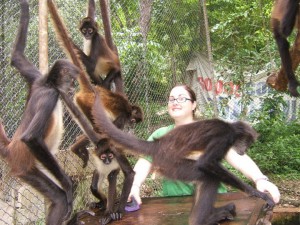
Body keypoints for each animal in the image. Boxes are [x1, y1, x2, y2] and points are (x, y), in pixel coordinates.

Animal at [0, 0, 95, 224]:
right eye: (71, 80)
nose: (72, 88)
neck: (47, 83)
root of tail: (10, 148)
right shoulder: (50, 96)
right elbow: (31, 137)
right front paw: (68, 186)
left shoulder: (36, 77)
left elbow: (17, 57)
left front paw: (24, 5)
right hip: (26, 168)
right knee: (59, 199)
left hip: (41, 165)